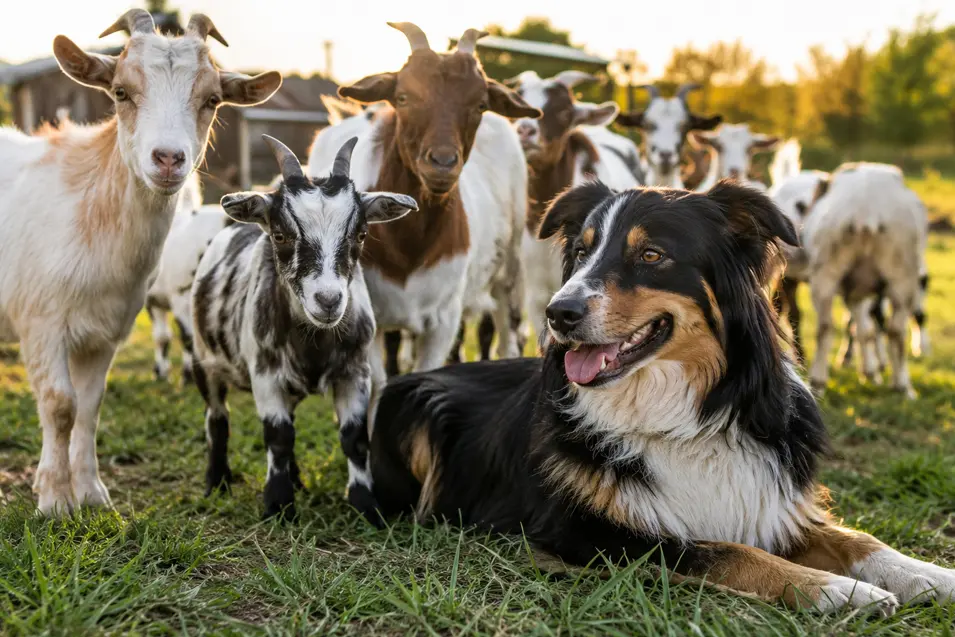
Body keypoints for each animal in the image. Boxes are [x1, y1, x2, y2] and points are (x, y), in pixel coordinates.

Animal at [0, 10, 280, 516]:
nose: (168, 158)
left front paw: (91, 494)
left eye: (212, 99)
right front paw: (54, 500)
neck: (92, 213)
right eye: (120, 92)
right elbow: (59, 404)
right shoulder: (40, 321)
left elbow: (89, 407)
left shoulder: (104, 332)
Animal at [191, 136, 417, 521]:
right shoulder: (265, 375)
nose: (328, 300)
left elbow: (354, 438)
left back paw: (297, 480)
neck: (313, 342)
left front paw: (366, 505)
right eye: (280, 235)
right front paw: (278, 505)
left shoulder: (355, 372)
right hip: (204, 360)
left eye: (361, 234)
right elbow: (278, 436)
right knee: (217, 418)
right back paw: (216, 482)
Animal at [306, 22, 540, 412]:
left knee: (507, 329)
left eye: (479, 104)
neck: (409, 242)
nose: (443, 163)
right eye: (403, 97)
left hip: (509, 269)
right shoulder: (364, 316)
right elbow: (380, 381)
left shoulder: (443, 318)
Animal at [801, 163, 928, 397]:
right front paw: (870, 372)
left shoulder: (856, 292)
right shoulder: (858, 292)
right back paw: (903, 385)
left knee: (825, 327)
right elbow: (864, 330)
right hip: (903, 274)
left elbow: (862, 329)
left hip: (826, 271)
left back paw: (818, 382)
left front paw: (868, 371)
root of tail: (866, 210)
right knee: (896, 331)